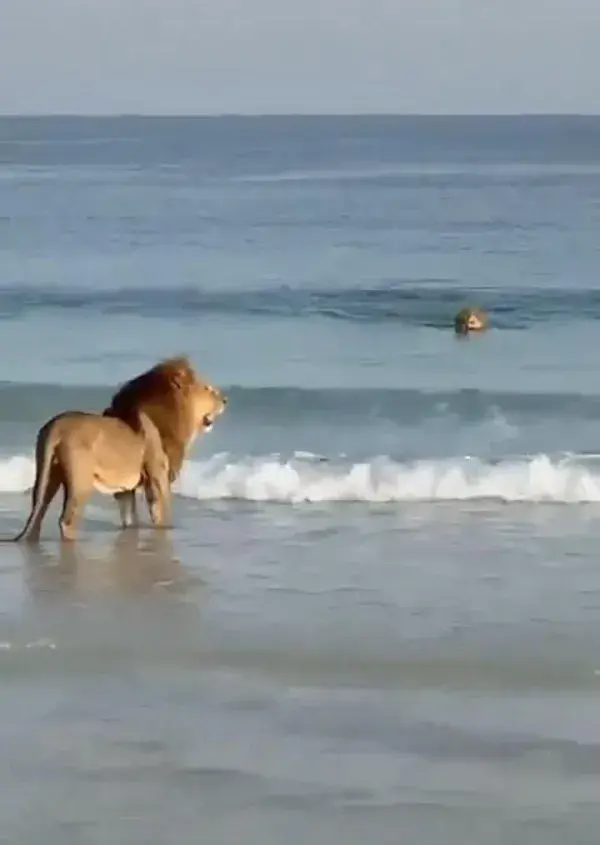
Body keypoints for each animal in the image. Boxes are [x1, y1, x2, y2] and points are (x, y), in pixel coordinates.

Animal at [12, 408, 171, 540]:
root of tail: (56, 426)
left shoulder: (125, 491)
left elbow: (130, 516)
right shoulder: (156, 477)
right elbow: (159, 511)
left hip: (48, 475)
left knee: (38, 511)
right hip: (82, 484)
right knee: (66, 521)